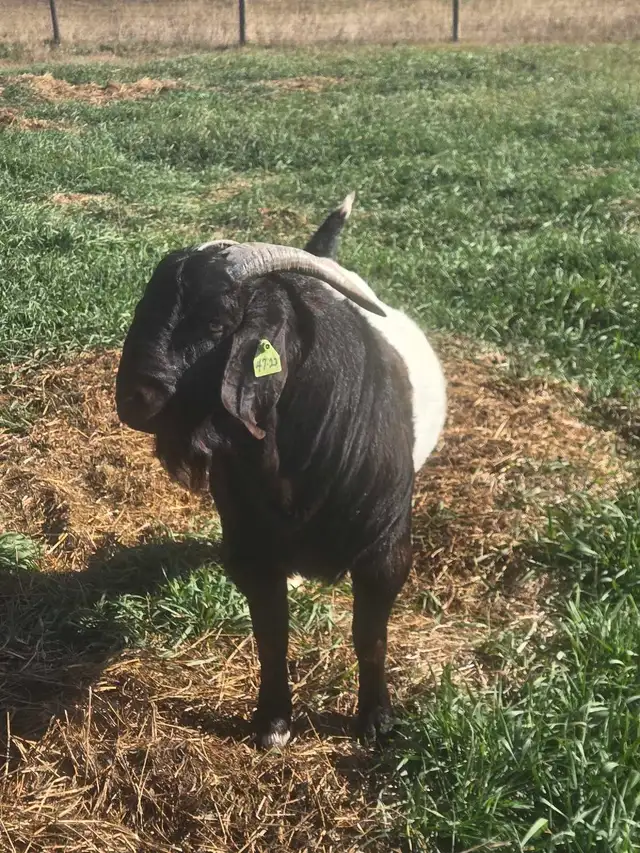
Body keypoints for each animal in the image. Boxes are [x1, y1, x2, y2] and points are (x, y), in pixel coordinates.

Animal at [115, 193, 447, 748]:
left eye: (217, 324)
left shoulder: (385, 550)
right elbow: (272, 636)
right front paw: (272, 722)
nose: (134, 398)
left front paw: (375, 720)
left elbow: (370, 638)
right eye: (143, 307)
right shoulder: (250, 549)